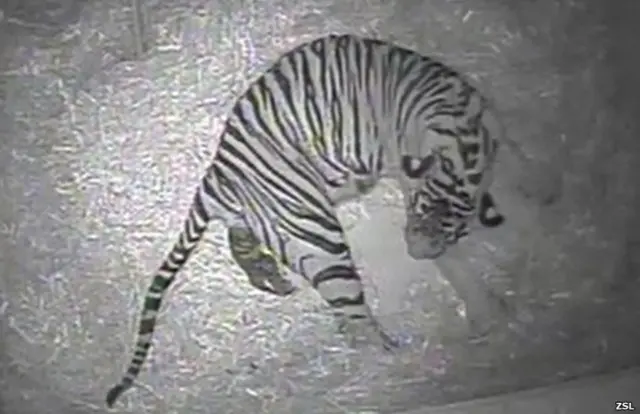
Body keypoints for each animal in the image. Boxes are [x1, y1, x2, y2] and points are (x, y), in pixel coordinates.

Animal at [105, 33, 507, 407]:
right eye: (421, 213)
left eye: (450, 230)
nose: (418, 252)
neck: (465, 140)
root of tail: (215, 176)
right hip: (319, 237)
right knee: (355, 320)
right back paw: (396, 359)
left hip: (267, 218)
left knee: (244, 243)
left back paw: (276, 280)